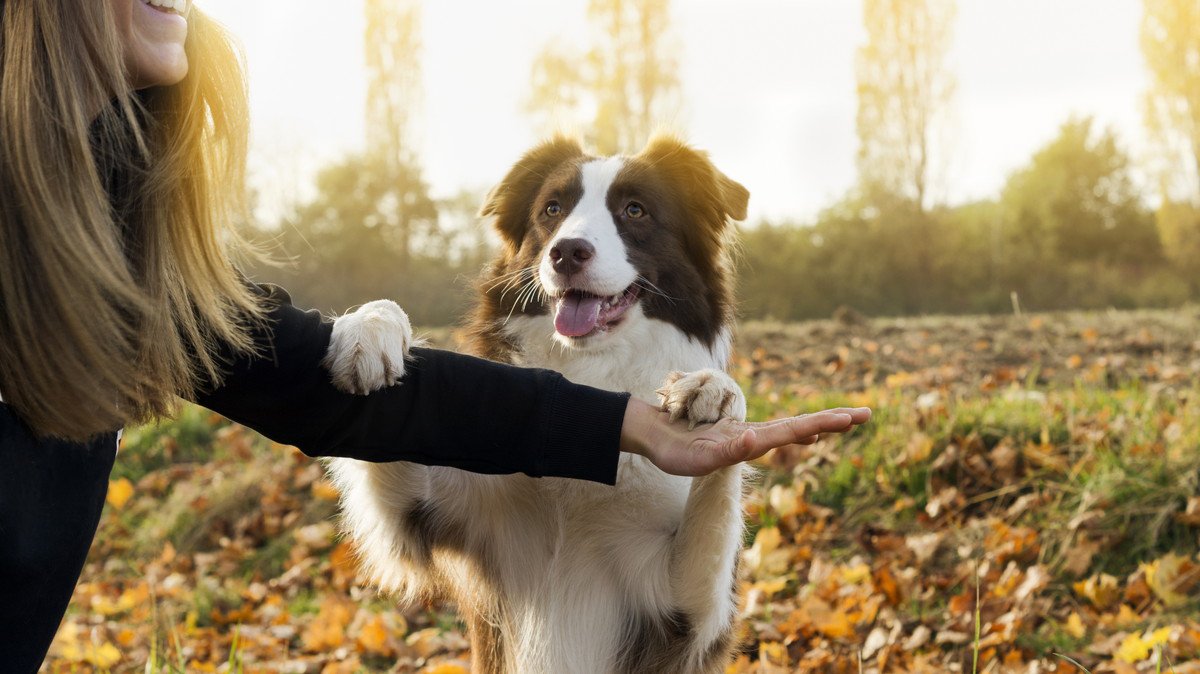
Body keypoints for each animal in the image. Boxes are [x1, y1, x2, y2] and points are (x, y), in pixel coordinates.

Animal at [319, 133, 748, 666]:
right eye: (553, 209)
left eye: (635, 210)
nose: (567, 252)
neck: (589, 368)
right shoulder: (429, 519)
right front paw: (368, 329)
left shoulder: (682, 612)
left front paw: (718, 394)